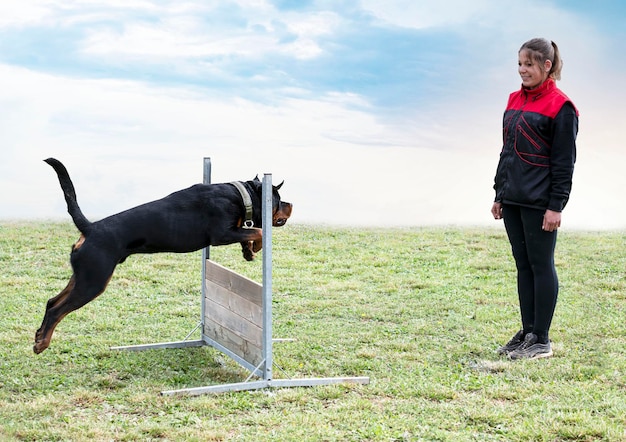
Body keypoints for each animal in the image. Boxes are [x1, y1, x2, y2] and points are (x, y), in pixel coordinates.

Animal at [31, 157, 290, 354]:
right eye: (278, 200)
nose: (291, 204)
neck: (240, 195)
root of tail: (90, 228)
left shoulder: (233, 231)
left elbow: (249, 230)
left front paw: (248, 252)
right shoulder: (221, 234)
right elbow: (258, 230)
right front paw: (257, 247)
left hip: (83, 276)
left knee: (51, 301)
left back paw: (39, 336)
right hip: (93, 281)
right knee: (56, 310)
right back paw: (42, 343)